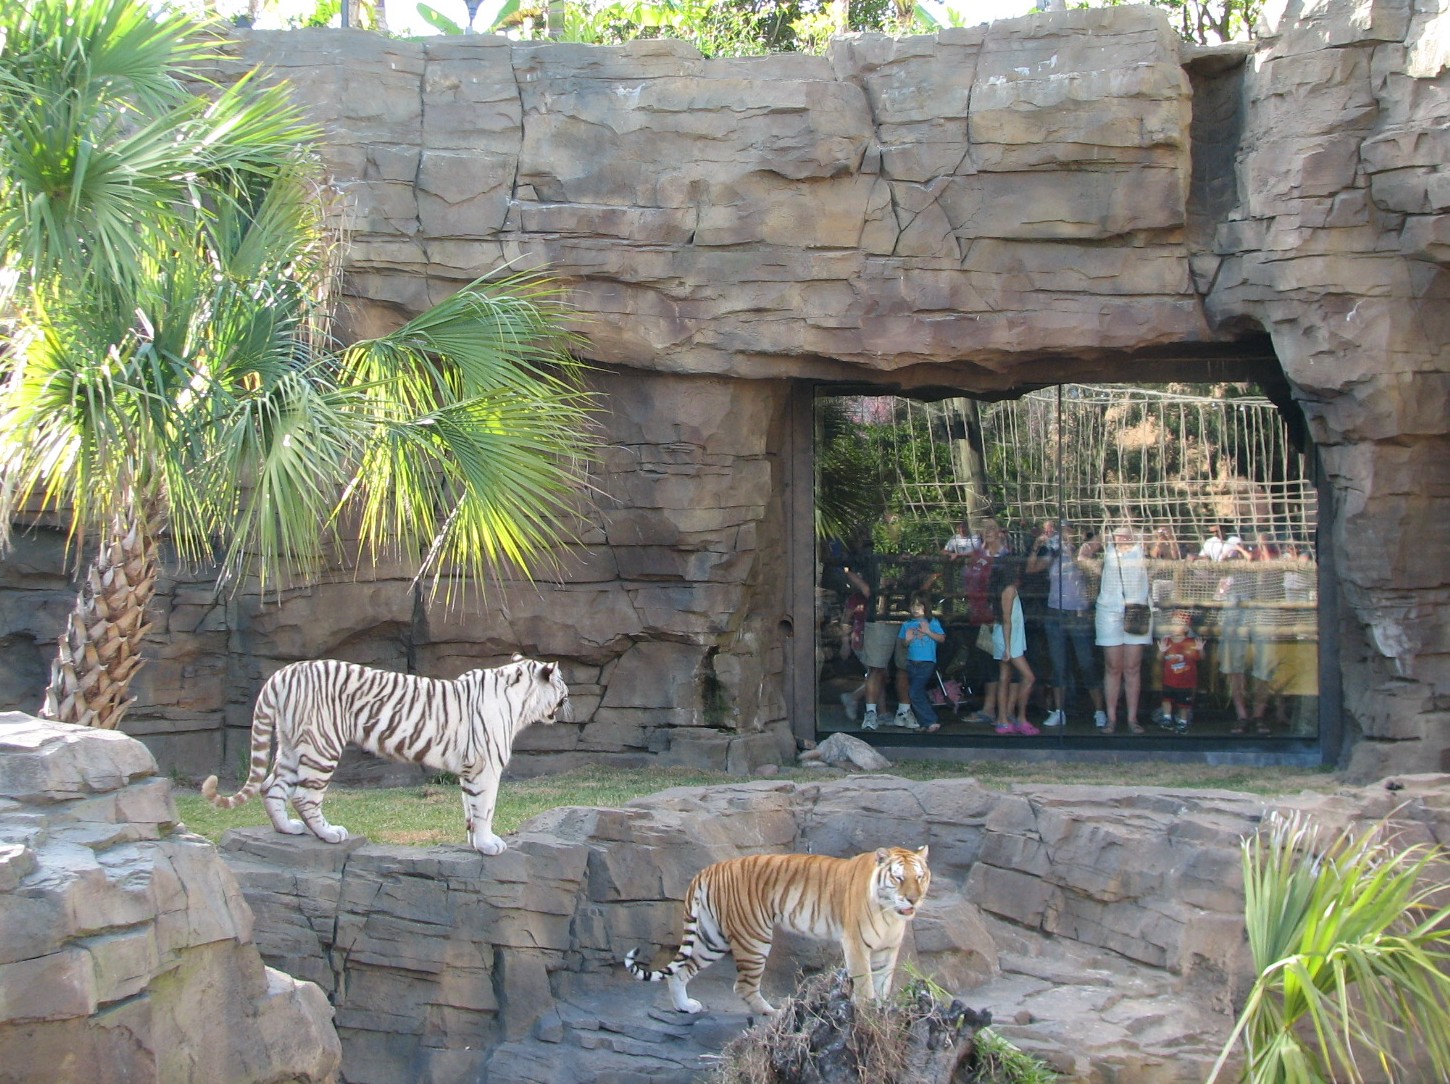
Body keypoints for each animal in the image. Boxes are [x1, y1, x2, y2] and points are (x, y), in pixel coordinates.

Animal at [200, 656, 569, 855]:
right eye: (563, 684)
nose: (569, 698)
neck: (520, 702)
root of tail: (281, 674)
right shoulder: (485, 765)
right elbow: (485, 808)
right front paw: (489, 843)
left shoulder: (469, 769)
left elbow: (471, 807)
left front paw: (475, 842)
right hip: (322, 744)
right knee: (305, 796)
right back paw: (329, 834)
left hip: (292, 744)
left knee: (271, 787)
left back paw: (287, 829)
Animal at [625, 845, 931, 1016]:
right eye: (898, 878)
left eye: (920, 877)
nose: (913, 899)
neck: (889, 914)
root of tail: (708, 869)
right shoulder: (855, 944)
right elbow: (866, 984)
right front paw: (867, 1015)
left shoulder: (887, 949)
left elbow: (883, 983)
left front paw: (882, 1011)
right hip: (753, 938)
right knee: (744, 986)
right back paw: (772, 1013)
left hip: (712, 939)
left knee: (681, 972)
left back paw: (685, 1006)